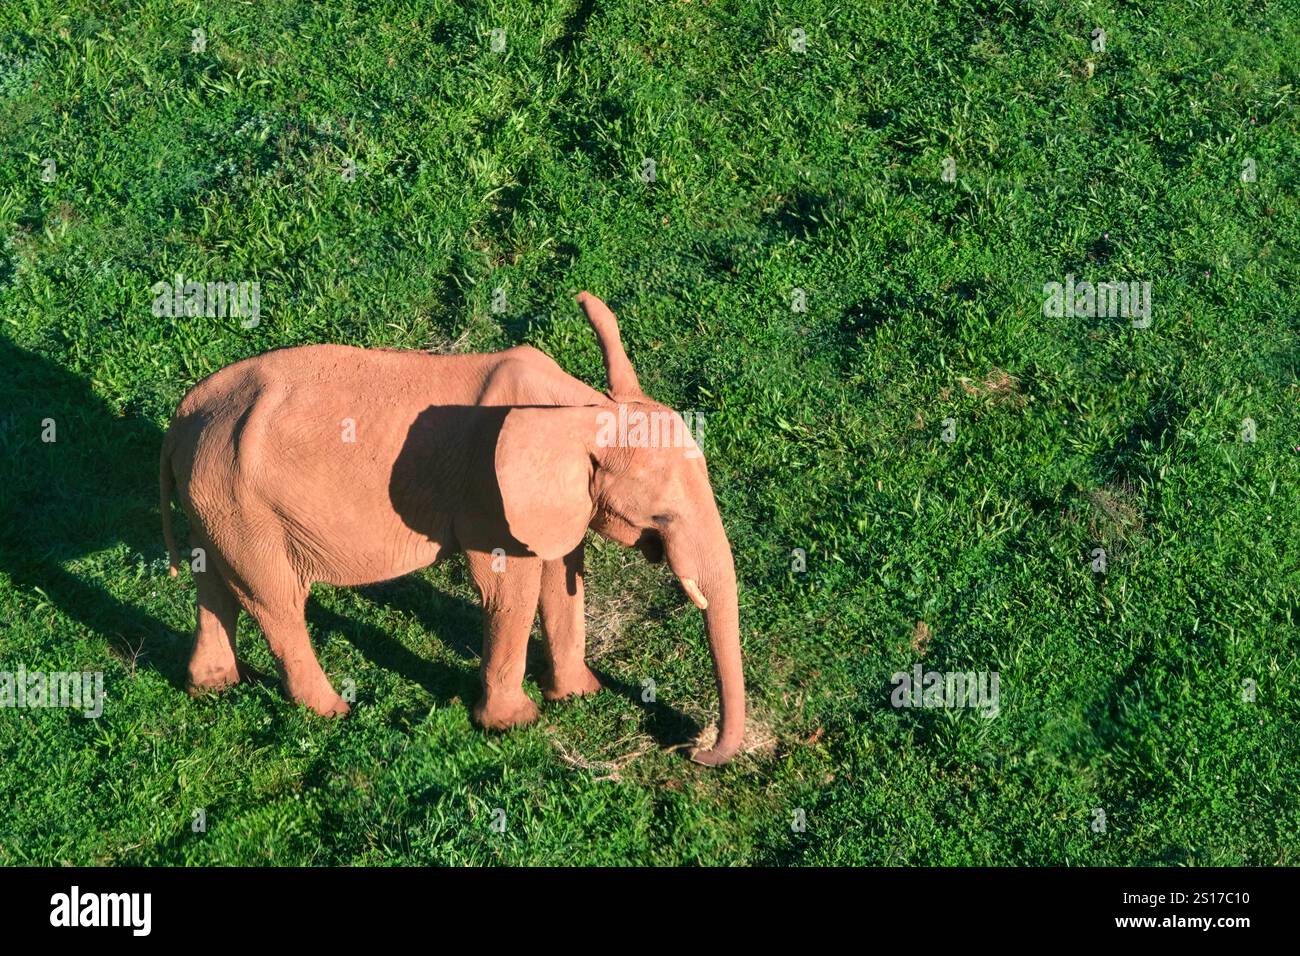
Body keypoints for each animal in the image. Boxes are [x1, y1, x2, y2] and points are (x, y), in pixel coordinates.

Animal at [161, 295, 748, 764]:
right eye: (663, 515)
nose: (692, 749)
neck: (581, 407)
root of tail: (183, 415)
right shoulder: (490, 491)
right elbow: (511, 589)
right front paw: (517, 724)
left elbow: (560, 575)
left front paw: (580, 696)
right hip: (239, 501)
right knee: (277, 599)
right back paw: (332, 711)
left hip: (214, 497)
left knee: (215, 583)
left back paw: (211, 688)